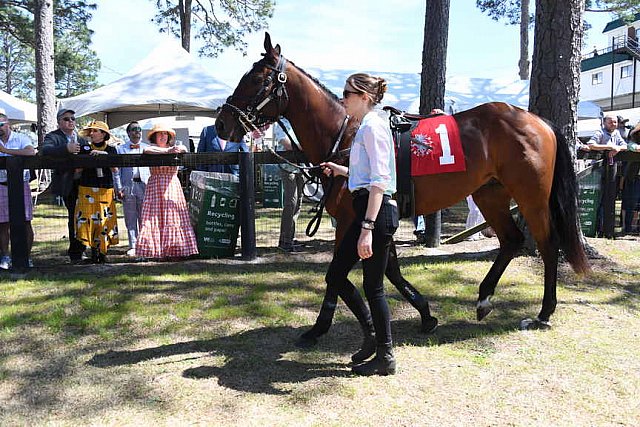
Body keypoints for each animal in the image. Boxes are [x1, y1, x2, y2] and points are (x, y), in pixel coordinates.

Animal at [216, 32, 592, 338]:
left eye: (257, 78)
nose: (222, 123)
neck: (347, 135)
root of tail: (537, 120)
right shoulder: (375, 220)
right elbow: (389, 270)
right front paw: (425, 313)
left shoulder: (353, 220)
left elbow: (341, 274)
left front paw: (319, 327)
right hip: (490, 194)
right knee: (512, 240)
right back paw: (484, 298)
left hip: (531, 197)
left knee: (547, 245)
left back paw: (543, 312)